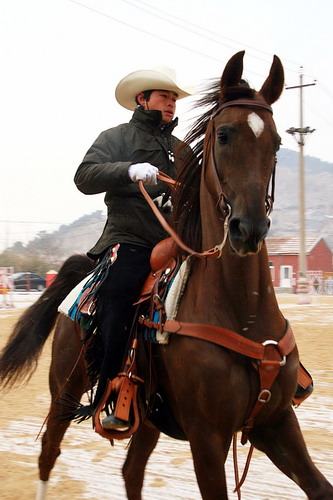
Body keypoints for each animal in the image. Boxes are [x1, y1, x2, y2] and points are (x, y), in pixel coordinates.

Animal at [0, 51, 332, 500]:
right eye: (224, 135)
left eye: (277, 142)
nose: (248, 229)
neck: (241, 311)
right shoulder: (207, 438)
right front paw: (141, 171)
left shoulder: (275, 422)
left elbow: (320, 487)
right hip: (65, 390)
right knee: (48, 453)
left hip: (146, 416)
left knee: (131, 471)